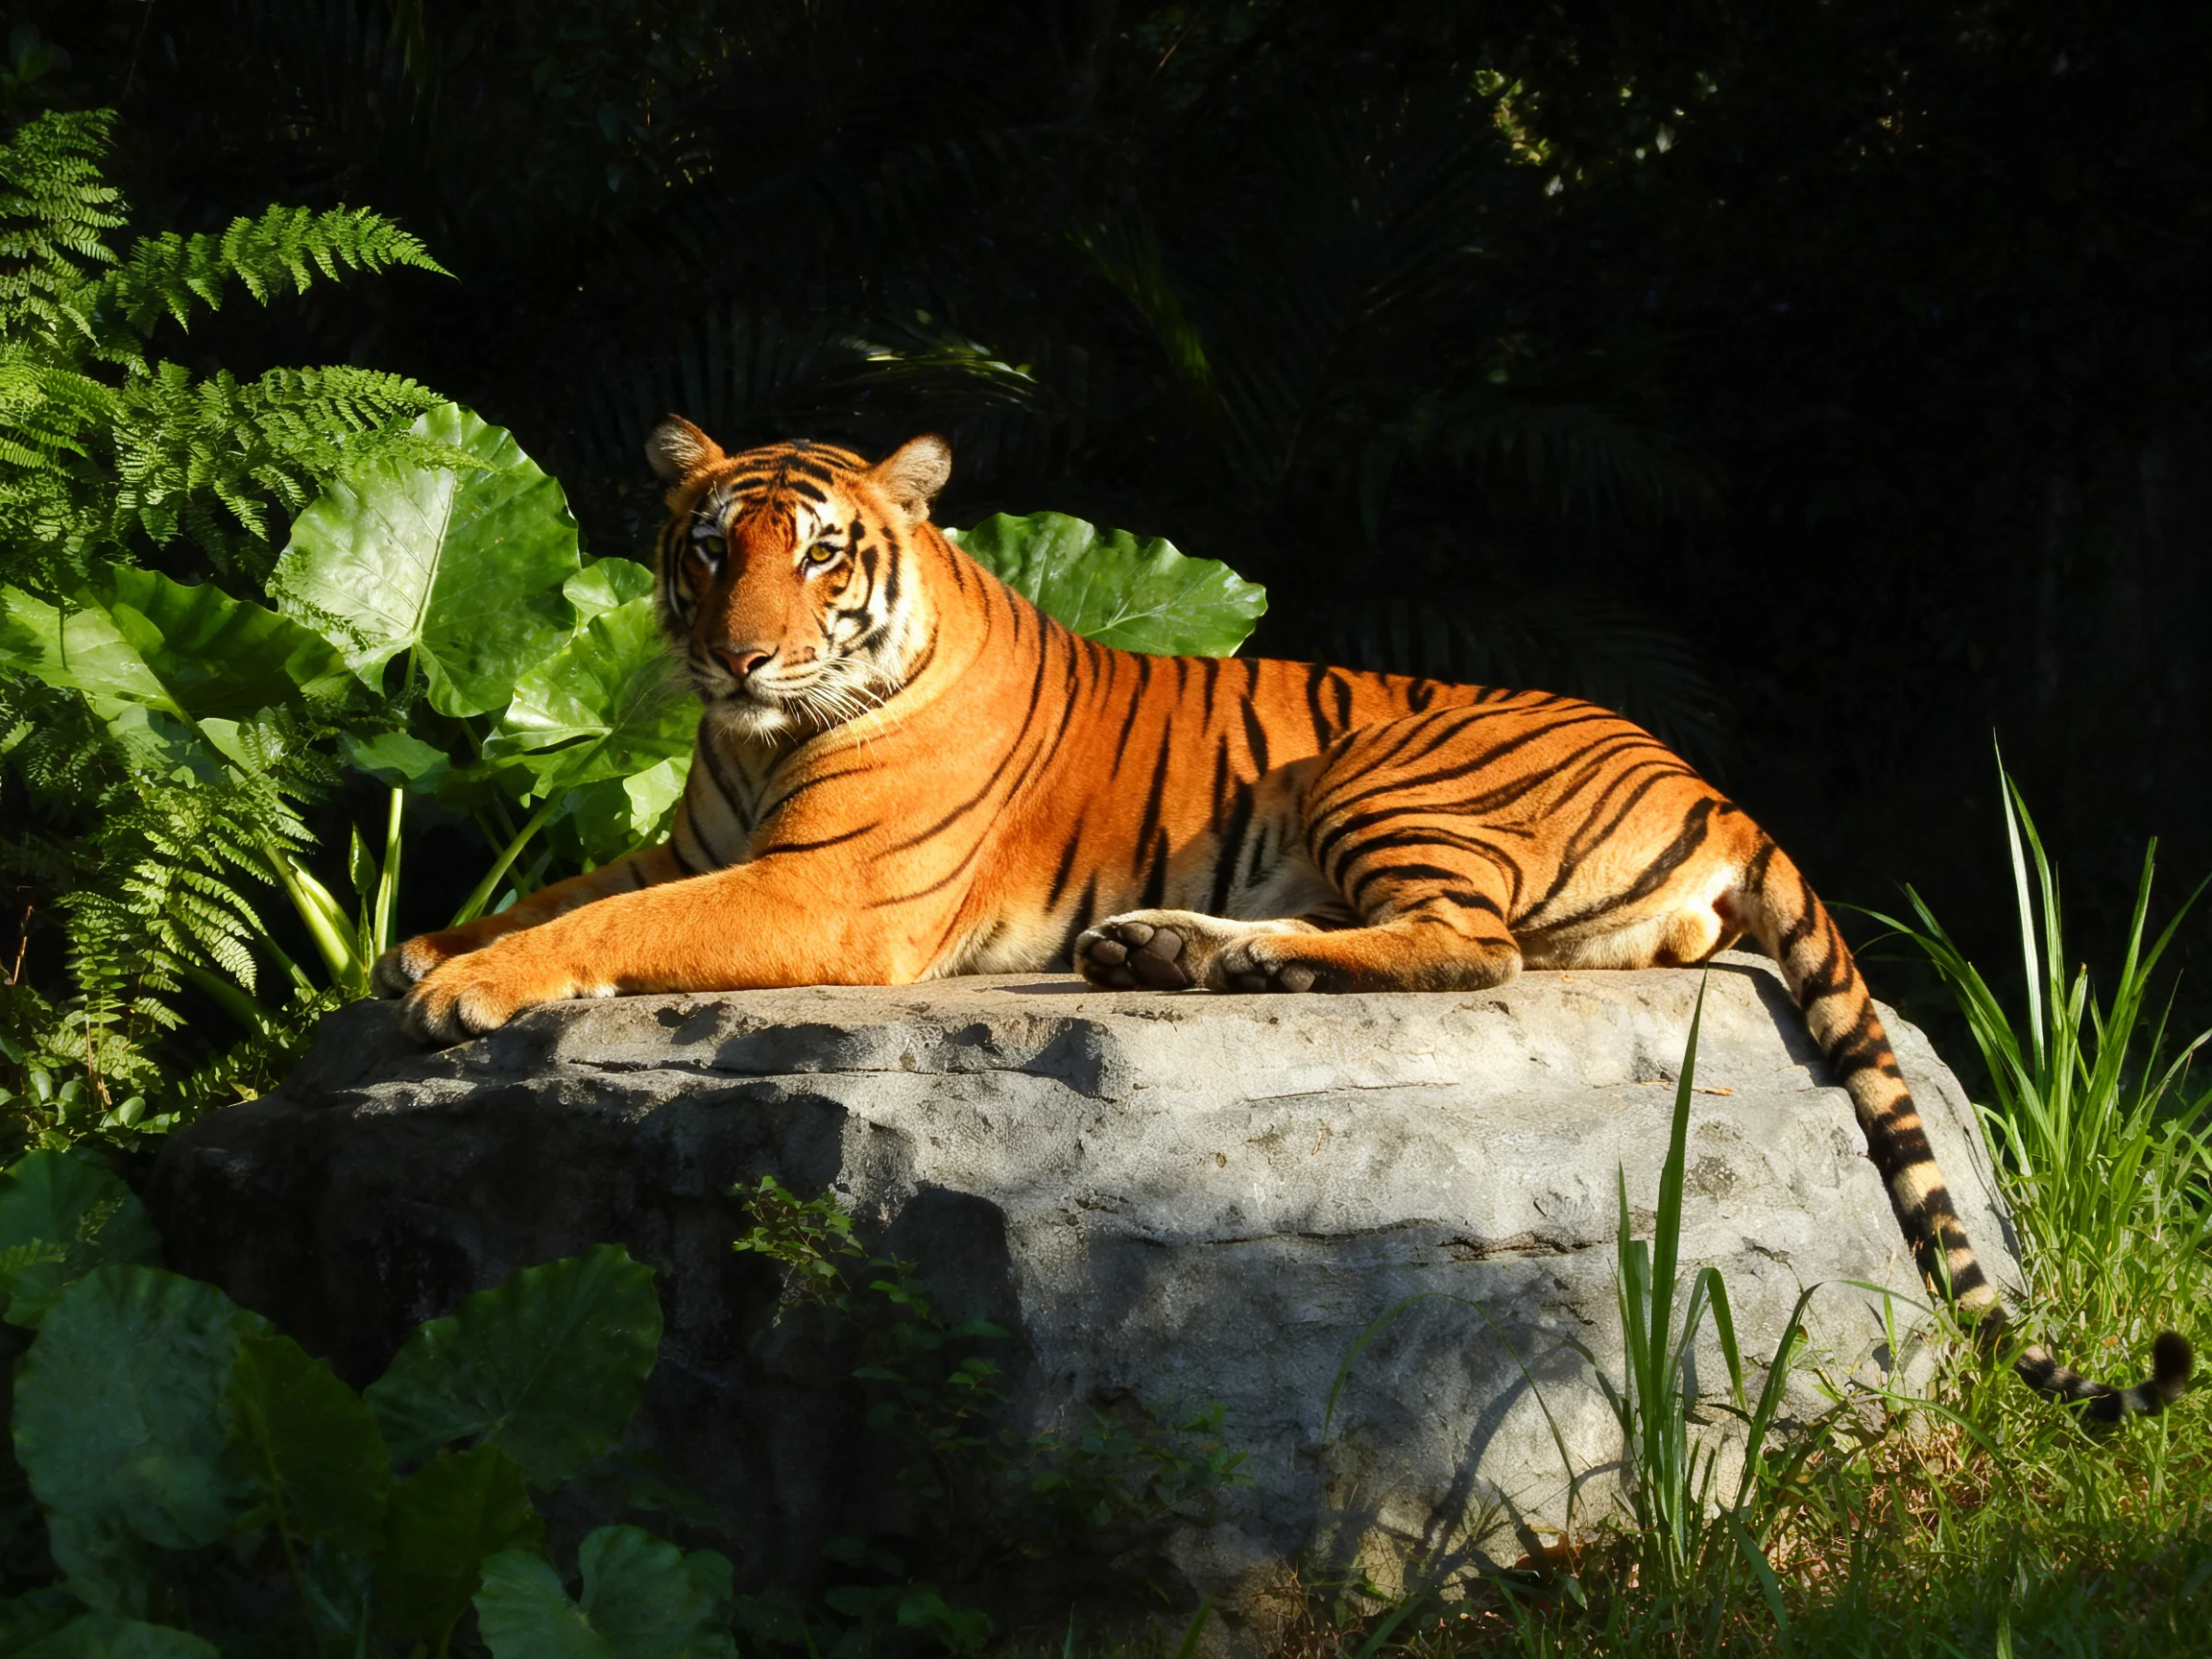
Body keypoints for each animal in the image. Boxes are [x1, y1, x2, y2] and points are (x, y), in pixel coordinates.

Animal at [375, 417, 2190, 1421]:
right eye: (705, 549)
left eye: (819, 557)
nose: (738, 653)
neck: (751, 739)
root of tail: (1708, 776)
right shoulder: (689, 844)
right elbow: (564, 886)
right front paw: (426, 944)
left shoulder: (822, 890)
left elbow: (604, 926)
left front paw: (458, 989)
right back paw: (1154, 945)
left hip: (1375, 766)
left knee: (1463, 948)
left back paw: (1205, 950)